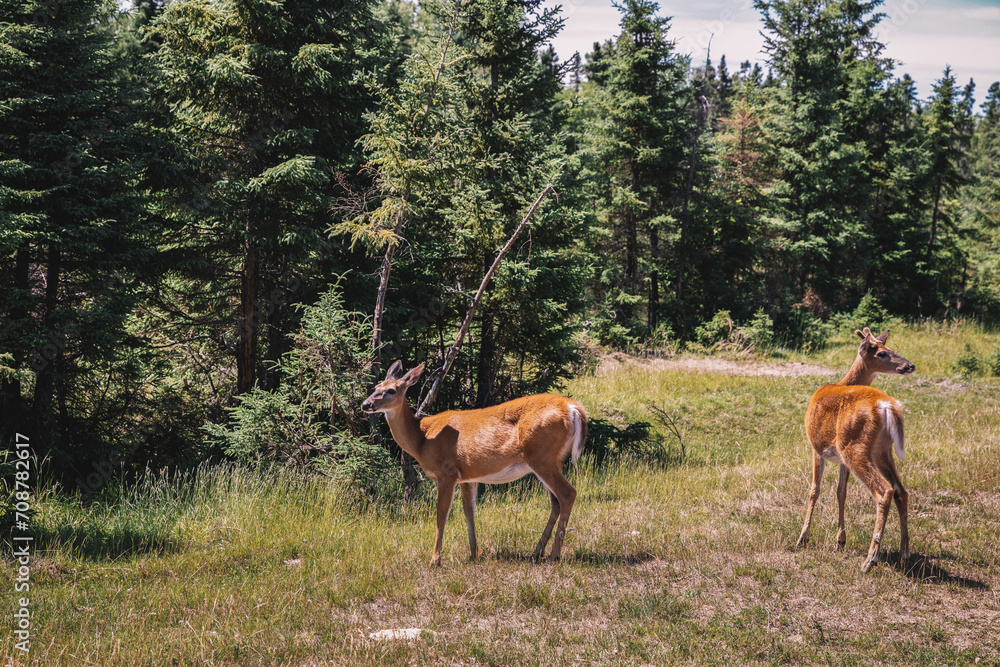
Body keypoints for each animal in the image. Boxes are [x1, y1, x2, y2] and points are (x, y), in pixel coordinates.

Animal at [362, 360, 588, 566]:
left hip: (542, 457)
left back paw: (554, 555)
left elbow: (441, 514)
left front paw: (435, 559)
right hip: (551, 460)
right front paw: (474, 553)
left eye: (391, 390)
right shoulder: (467, 476)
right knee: (555, 501)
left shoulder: (447, 472)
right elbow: (469, 512)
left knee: (567, 493)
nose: (366, 404)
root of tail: (573, 408)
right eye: (375, 387)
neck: (422, 438)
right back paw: (537, 552)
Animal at [795, 327, 916, 572]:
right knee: (901, 490)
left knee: (885, 491)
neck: (842, 382)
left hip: (854, 447)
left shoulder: (816, 447)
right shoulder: (840, 459)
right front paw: (840, 540)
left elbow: (814, 490)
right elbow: (841, 492)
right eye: (882, 352)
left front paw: (802, 538)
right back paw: (905, 554)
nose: (910, 365)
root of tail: (887, 405)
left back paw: (870, 560)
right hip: (881, 450)